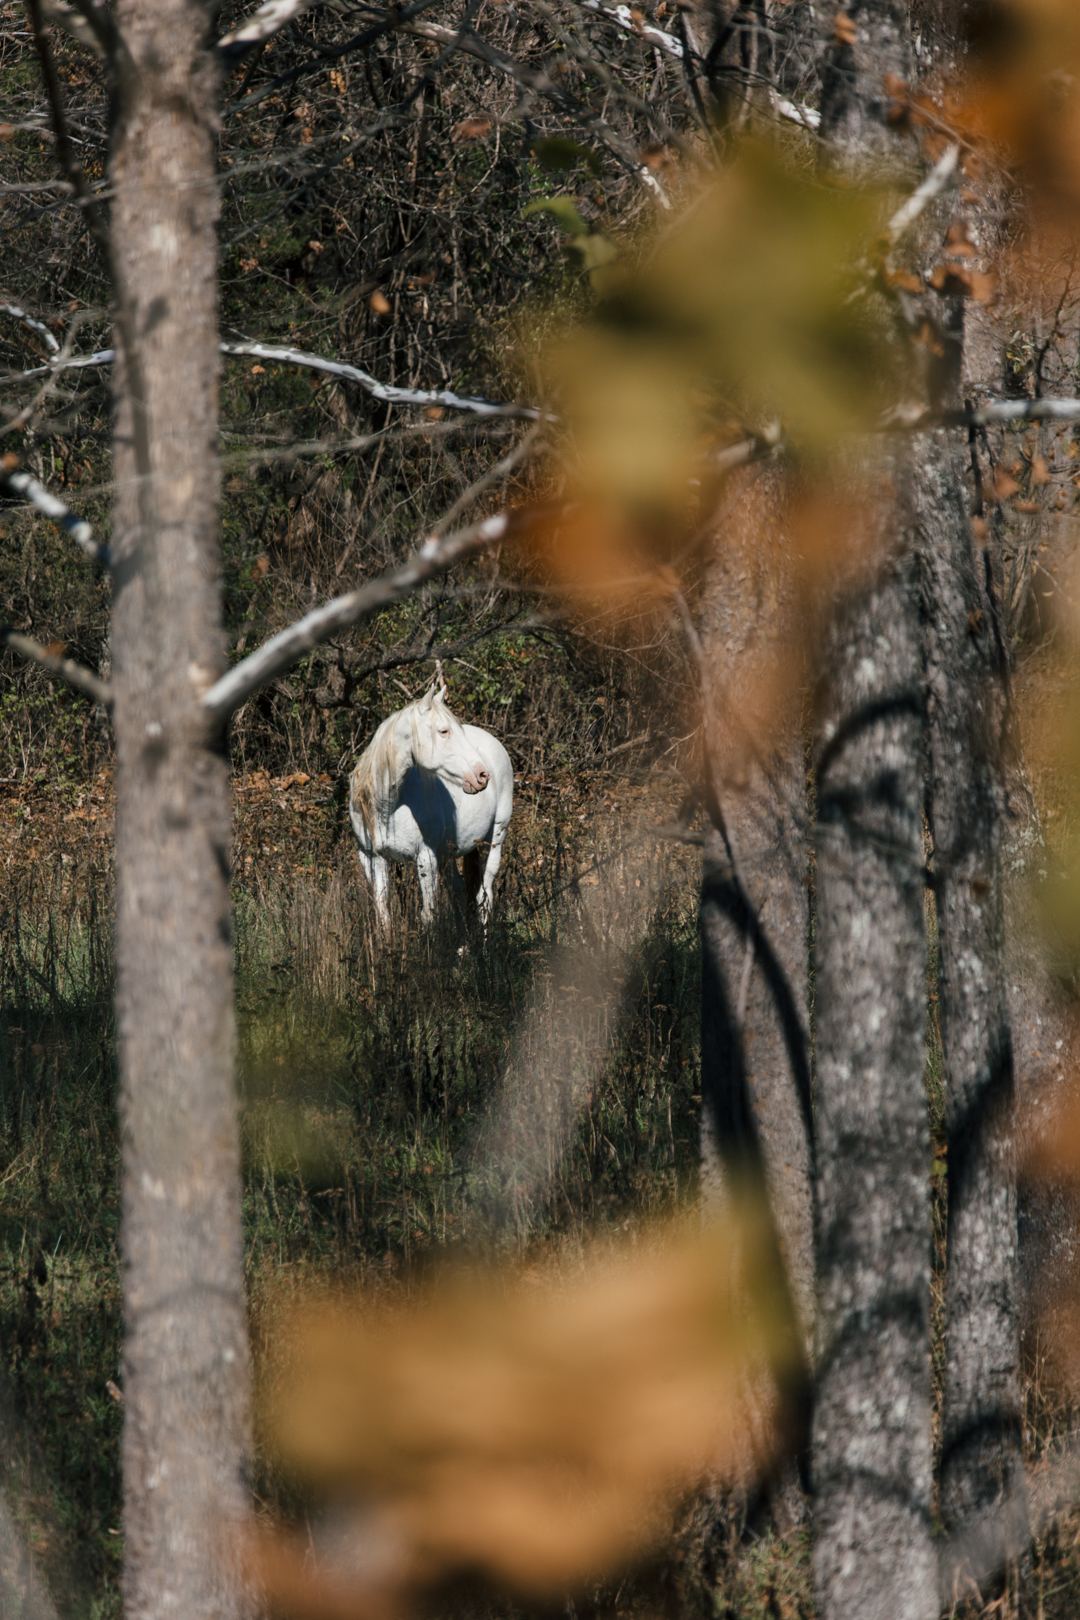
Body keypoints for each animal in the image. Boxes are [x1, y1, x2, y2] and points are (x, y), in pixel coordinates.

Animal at [348, 680, 514, 939]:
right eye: (443, 731)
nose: (481, 775)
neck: (388, 808)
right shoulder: (372, 857)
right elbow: (383, 915)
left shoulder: (426, 857)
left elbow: (428, 915)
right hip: (448, 854)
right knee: (459, 892)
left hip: (496, 837)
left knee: (484, 895)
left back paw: (486, 947)